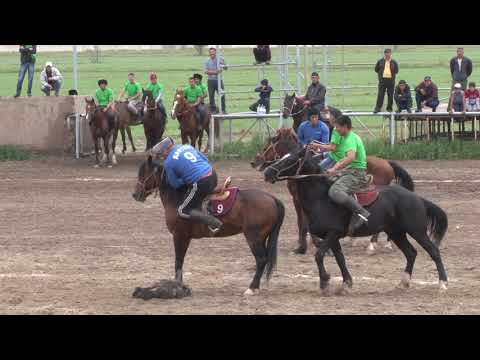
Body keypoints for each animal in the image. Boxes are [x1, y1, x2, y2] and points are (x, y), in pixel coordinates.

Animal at [133, 155, 284, 296]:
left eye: (143, 173)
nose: (135, 194)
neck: (178, 198)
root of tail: (271, 198)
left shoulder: (179, 235)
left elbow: (178, 261)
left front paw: (177, 286)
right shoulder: (185, 237)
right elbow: (180, 260)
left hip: (253, 237)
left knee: (261, 260)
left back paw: (252, 288)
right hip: (261, 238)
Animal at [253, 128, 414, 255]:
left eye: (272, 140)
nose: (256, 162)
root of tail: (387, 163)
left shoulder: (298, 200)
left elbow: (304, 223)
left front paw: (310, 245)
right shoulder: (299, 201)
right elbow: (303, 223)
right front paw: (304, 246)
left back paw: (372, 245)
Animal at [264, 148, 448, 294]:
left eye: (290, 160)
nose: (267, 172)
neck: (321, 198)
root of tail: (417, 198)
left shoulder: (333, 233)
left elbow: (319, 255)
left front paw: (325, 282)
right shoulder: (333, 238)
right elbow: (340, 258)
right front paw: (346, 283)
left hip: (417, 231)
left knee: (433, 251)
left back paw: (443, 283)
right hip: (397, 233)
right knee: (411, 253)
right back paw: (404, 282)